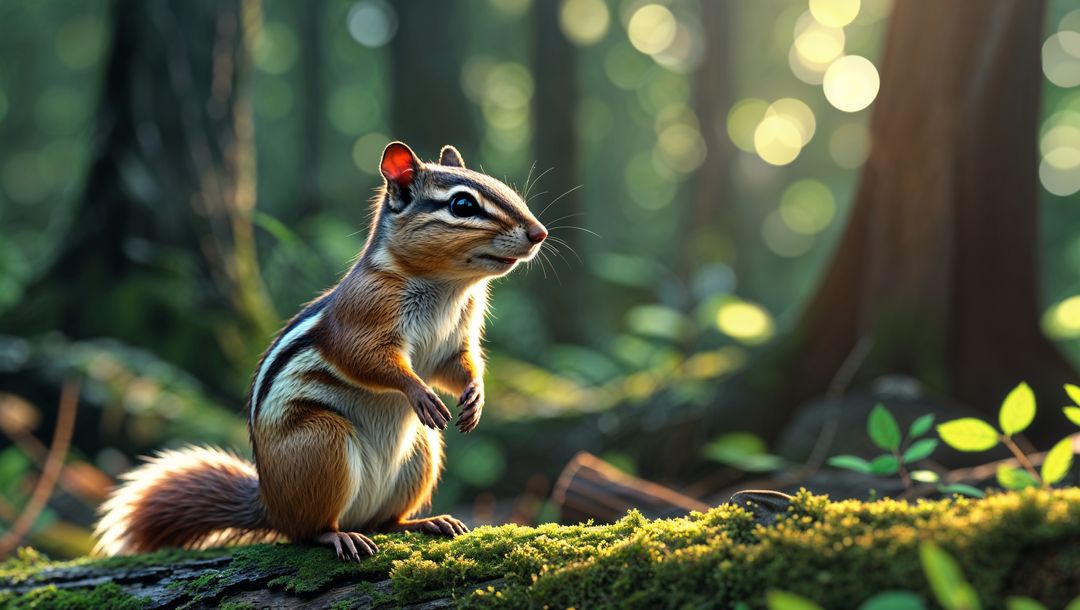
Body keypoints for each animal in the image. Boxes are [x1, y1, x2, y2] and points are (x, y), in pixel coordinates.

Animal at [94, 141, 548, 561]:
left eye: (503, 188)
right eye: (462, 204)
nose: (539, 233)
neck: (448, 286)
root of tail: (270, 504)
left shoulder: (456, 339)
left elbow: (459, 366)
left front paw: (476, 397)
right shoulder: (361, 315)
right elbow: (366, 359)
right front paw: (418, 392)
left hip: (422, 451)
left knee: (385, 522)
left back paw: (426, 522)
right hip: (322, 442)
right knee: (307, 530)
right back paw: (338, 536)